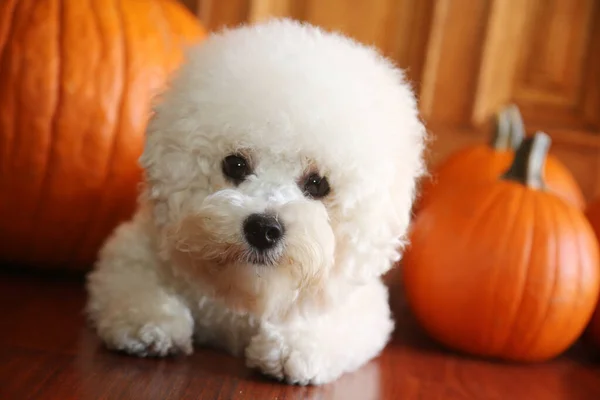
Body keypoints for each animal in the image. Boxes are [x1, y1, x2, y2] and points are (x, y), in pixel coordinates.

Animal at [86, 18, 428, 384]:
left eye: (317, 184)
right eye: (235, 164)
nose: (263, 229)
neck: (248, 293)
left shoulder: (358, 303)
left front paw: (292, 347)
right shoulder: (137, 250)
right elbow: (132, 282)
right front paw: (150, 322)